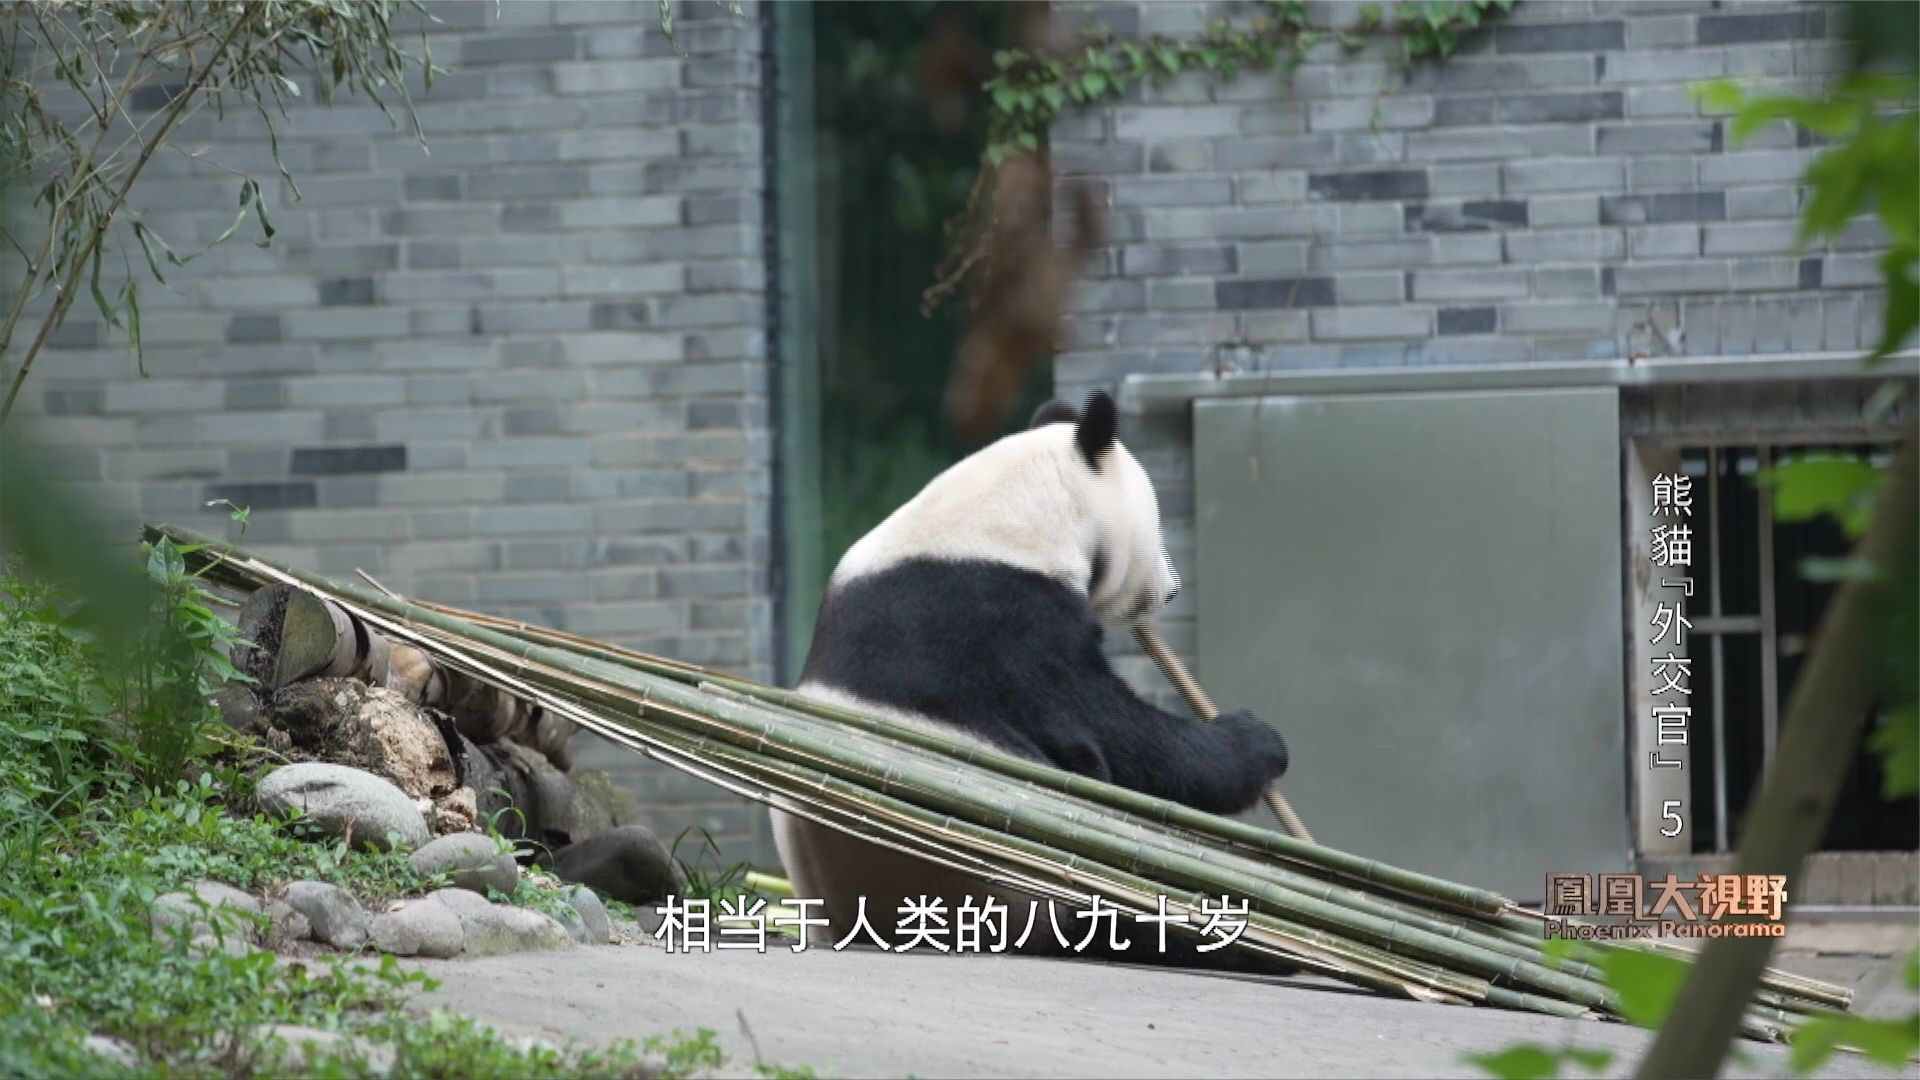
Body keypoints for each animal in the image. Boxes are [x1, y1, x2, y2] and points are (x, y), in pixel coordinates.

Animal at [771, 384, 1297, 968]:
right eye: (1157, 521)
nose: (1173, 588)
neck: (1009, 519)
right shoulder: (1002, 625)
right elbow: (1115, 735)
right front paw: (1257, 740)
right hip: (1019, 893)